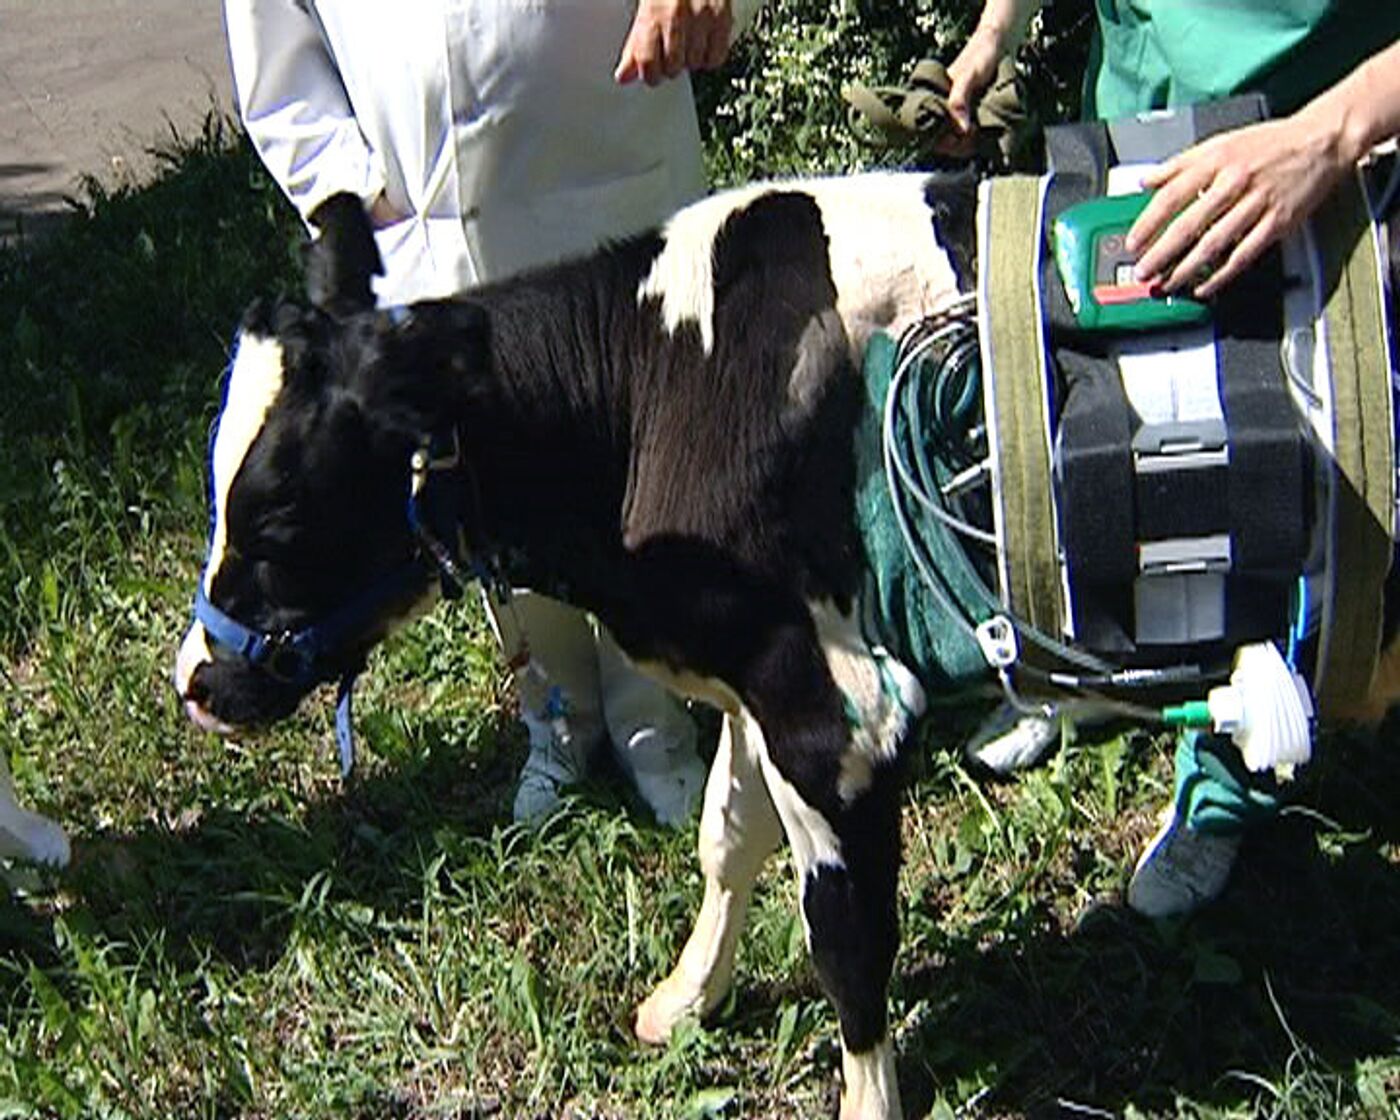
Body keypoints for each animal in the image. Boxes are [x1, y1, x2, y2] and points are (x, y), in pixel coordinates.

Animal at [172, 171, 1400, 1119]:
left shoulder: (840, 710)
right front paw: (685, 998)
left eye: (278, 511)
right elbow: (725, 837)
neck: (648, 390)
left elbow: (846, 937)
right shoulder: (752, 674)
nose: (194, 683)